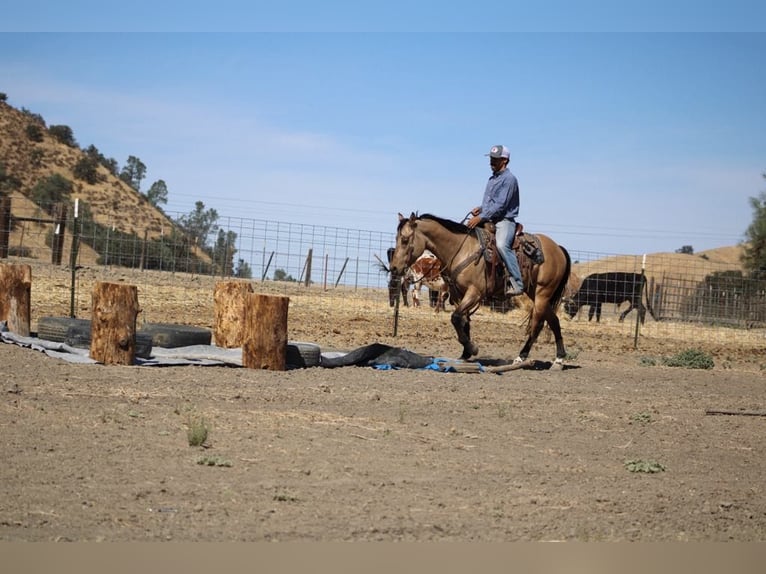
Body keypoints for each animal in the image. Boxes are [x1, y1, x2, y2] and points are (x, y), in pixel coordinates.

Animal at [388, 212, 572, 368]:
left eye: (405, 239)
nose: (394, 268)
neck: (461, 249)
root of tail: (558, 248)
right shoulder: (458, 294)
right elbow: (463, 320)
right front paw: (465, 353)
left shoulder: (474, 293)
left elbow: (455, 318)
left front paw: (472, 348)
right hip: (536, 293)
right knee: (554, 321)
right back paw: (559, 359)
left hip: (542, 293)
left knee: (537, 324)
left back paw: (521, 356)